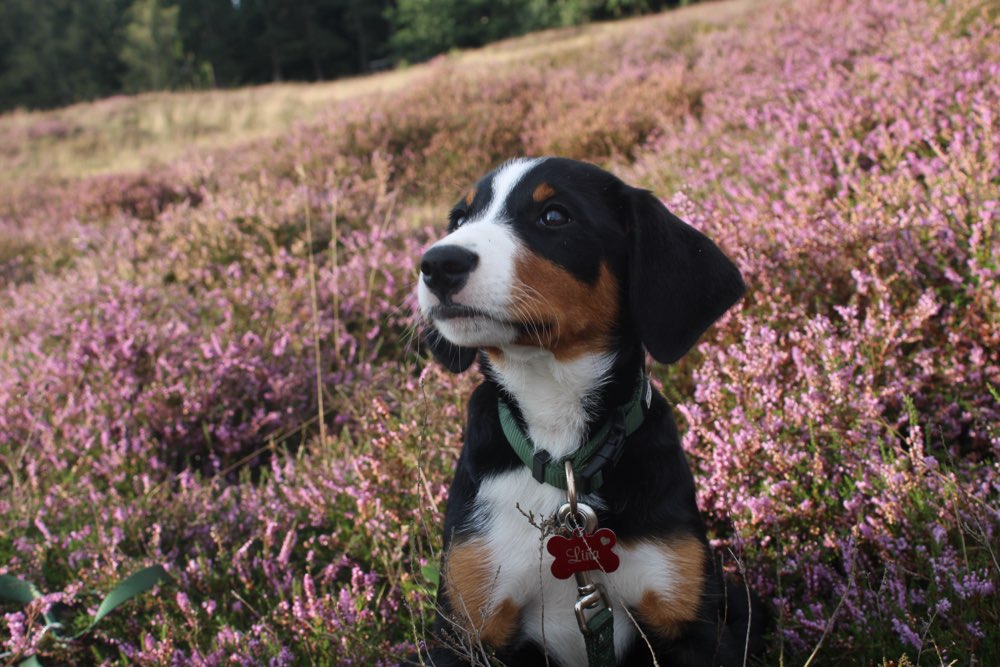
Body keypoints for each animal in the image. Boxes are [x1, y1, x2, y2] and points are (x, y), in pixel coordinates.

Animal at [414, 159, 764, 664]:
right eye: (460, 219)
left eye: (554, 216)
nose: (438, 263)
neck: (559, 438)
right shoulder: (469, 625)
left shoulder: (687, 620)